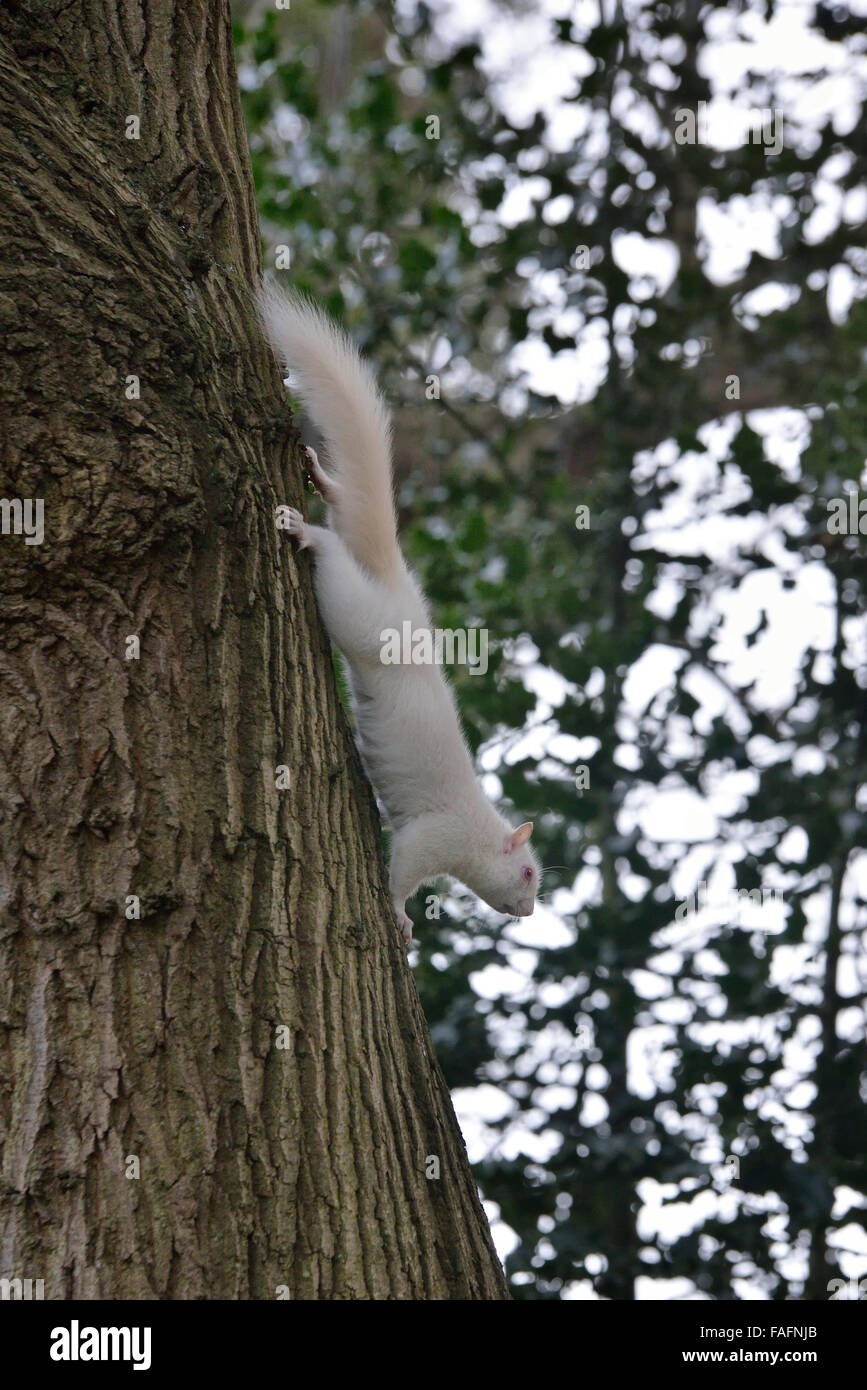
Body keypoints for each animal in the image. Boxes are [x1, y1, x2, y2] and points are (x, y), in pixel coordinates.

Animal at [259, 284, 540, 943]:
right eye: (527, 875)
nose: (530, 913)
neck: (481, 834)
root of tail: (393, 582)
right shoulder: (437, 836)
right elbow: (405, 866)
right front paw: (401, 916)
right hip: (359, 616)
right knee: (332, 557)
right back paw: (302, 530)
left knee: (344, 506)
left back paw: (321, 476)